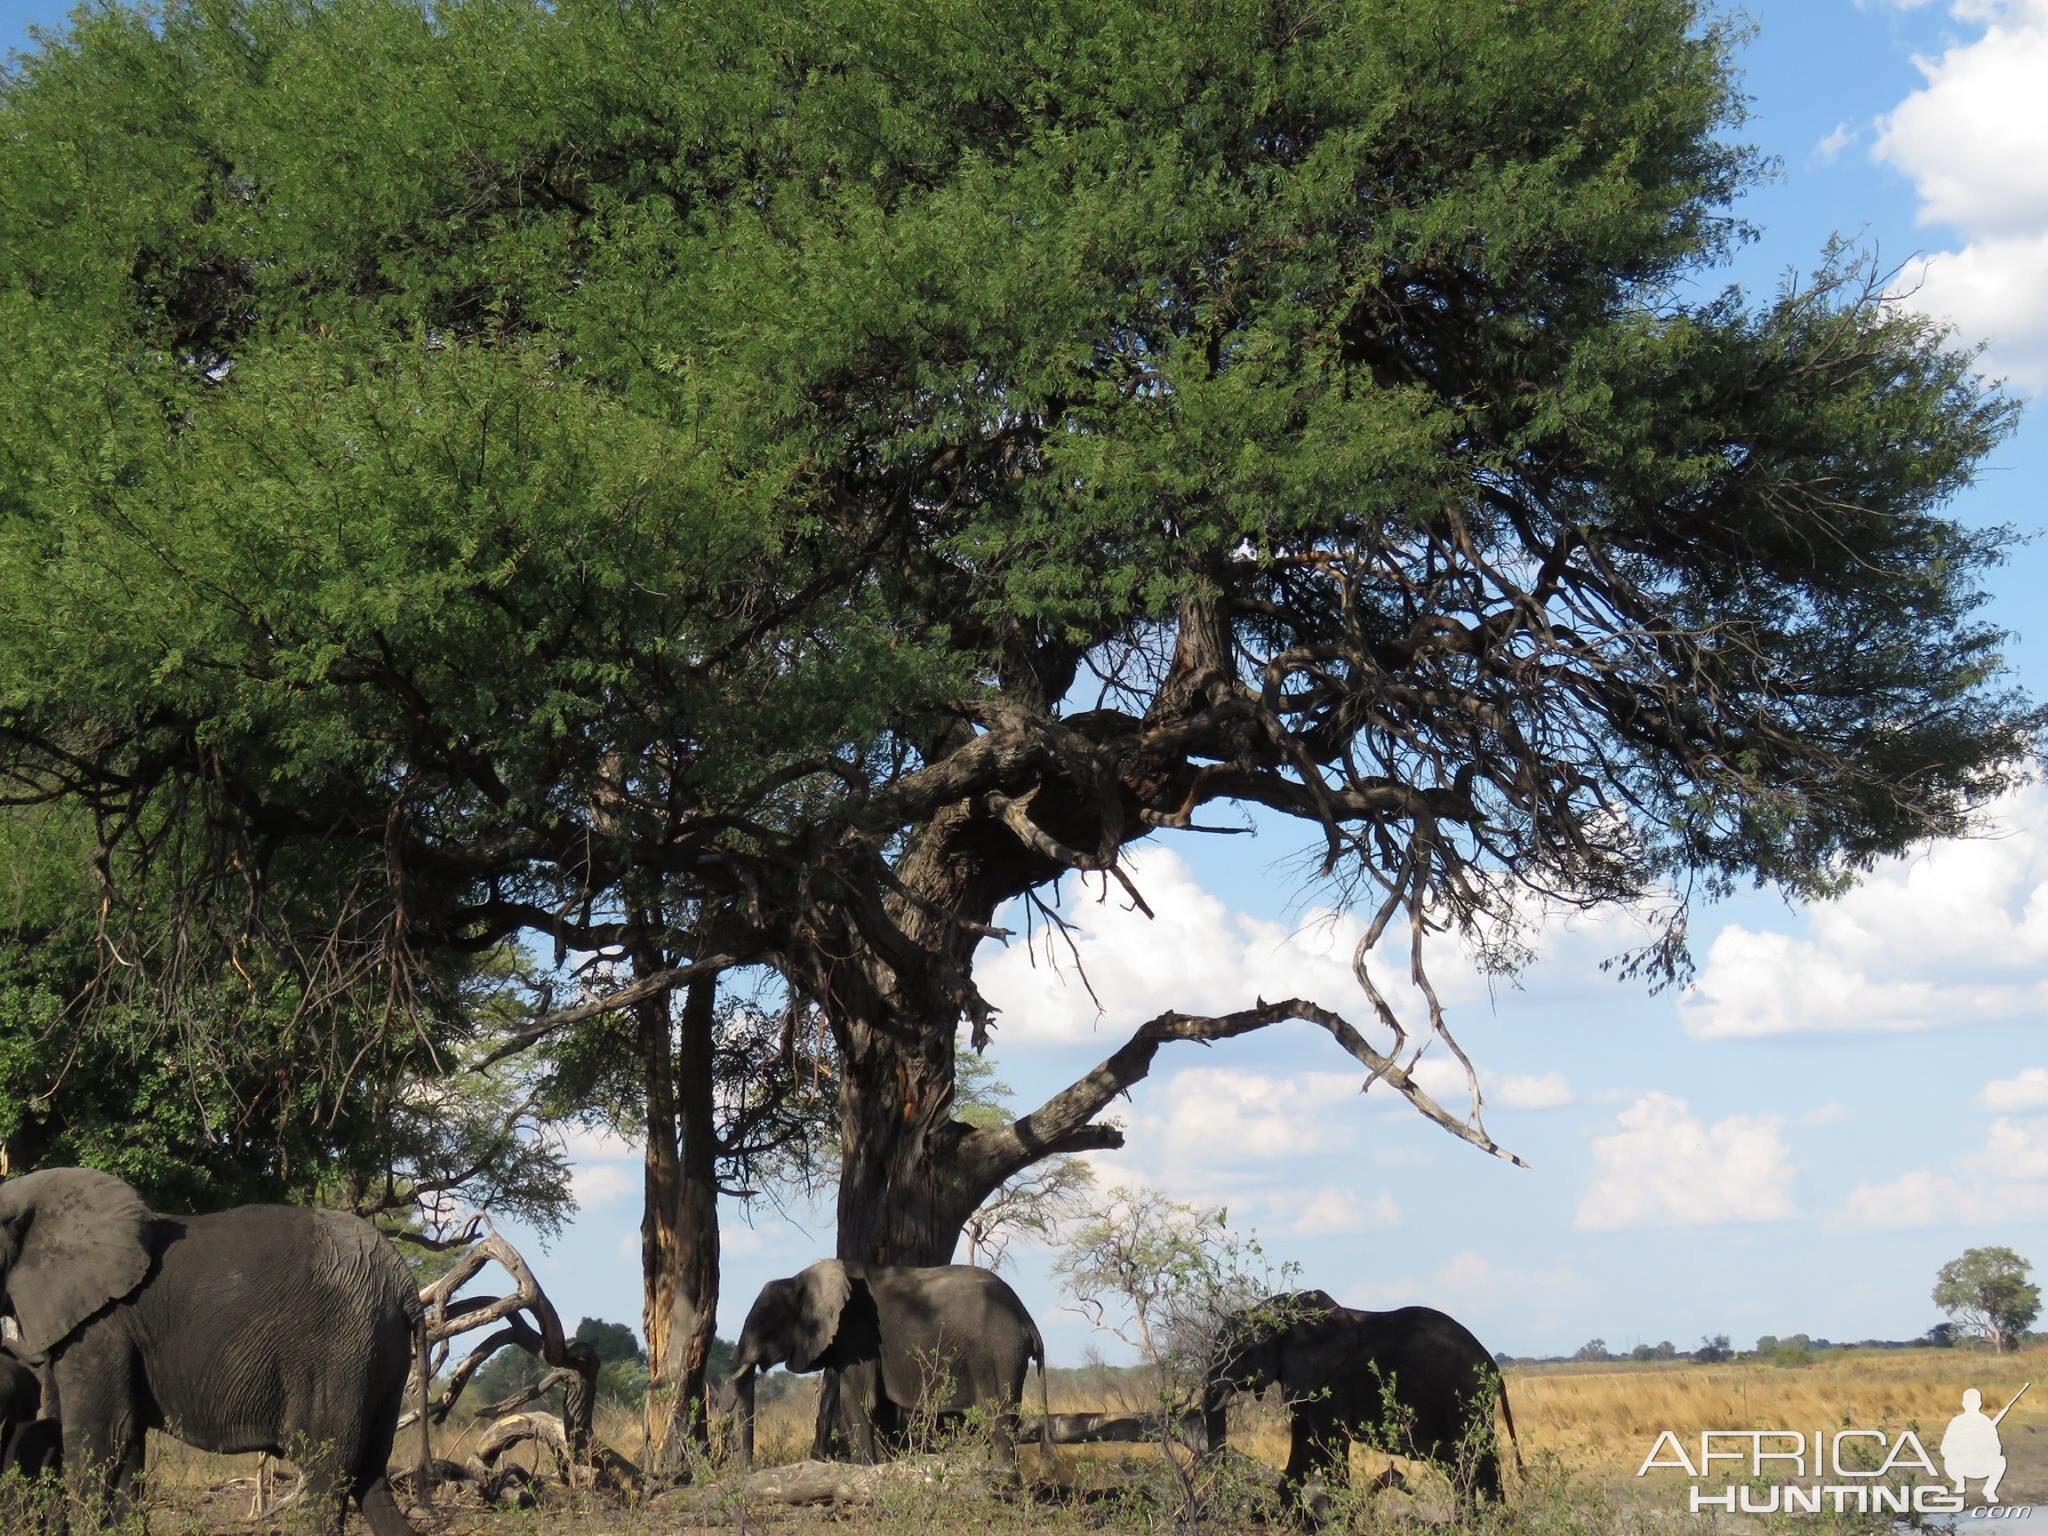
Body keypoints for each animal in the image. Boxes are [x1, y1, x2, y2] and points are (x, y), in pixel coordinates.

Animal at [0, 1171, 425, 1531]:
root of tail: (404, 1281)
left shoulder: (102, 1323)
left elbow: (103, 1436)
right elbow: (127, 1441)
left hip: (340, 1351)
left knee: (326, 1472)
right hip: (380, 1353)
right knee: (370, 1477)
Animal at [720, 1269, 1048, 1474]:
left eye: (766, 1324)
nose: (747, 1472)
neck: (802, 1278)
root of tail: (1029, 1322)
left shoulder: (858, 1336)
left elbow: (858, 1401)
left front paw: (864, 1471)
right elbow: (882, 1409)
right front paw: (887, 1468)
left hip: (997, 1352)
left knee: (998, 1416)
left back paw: (1002, 1479)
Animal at [1196, 1294, 1523, 1507]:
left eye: (1242, 1351)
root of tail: (1493, 1367)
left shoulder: (1333, 1382)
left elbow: (1328, 1447)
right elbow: (1304, 1449)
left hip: (1466, 1399)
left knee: (1475, 1462)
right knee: (1467, 1468)